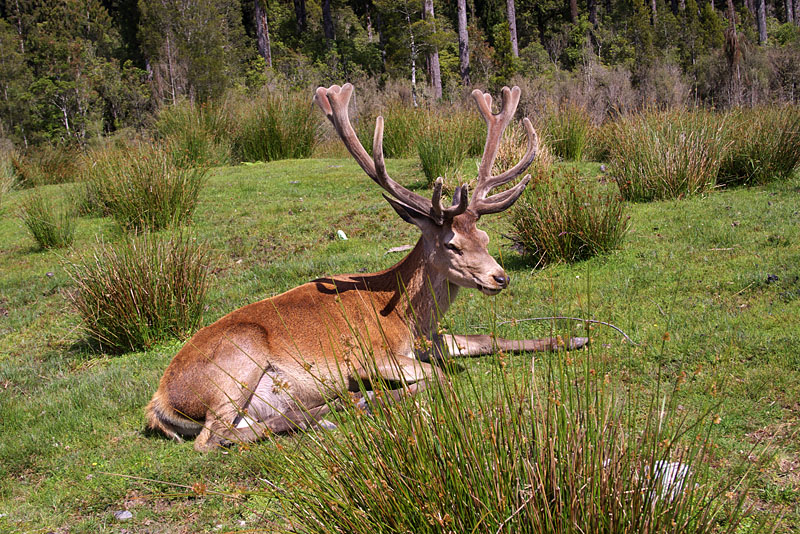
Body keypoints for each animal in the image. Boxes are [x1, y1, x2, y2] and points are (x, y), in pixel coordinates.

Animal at [147, 84, 588, 452]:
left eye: (486, 237)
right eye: (452, 244)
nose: (501, 277)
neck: (408, 319)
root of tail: (159, 403)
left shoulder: (431, 338)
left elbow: (485, 338)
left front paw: (573, 338)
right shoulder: (372, 355)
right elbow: (441, 378)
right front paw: (378, 393)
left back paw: (329, 410)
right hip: (238, 360)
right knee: (212, 439)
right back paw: (349, 404)